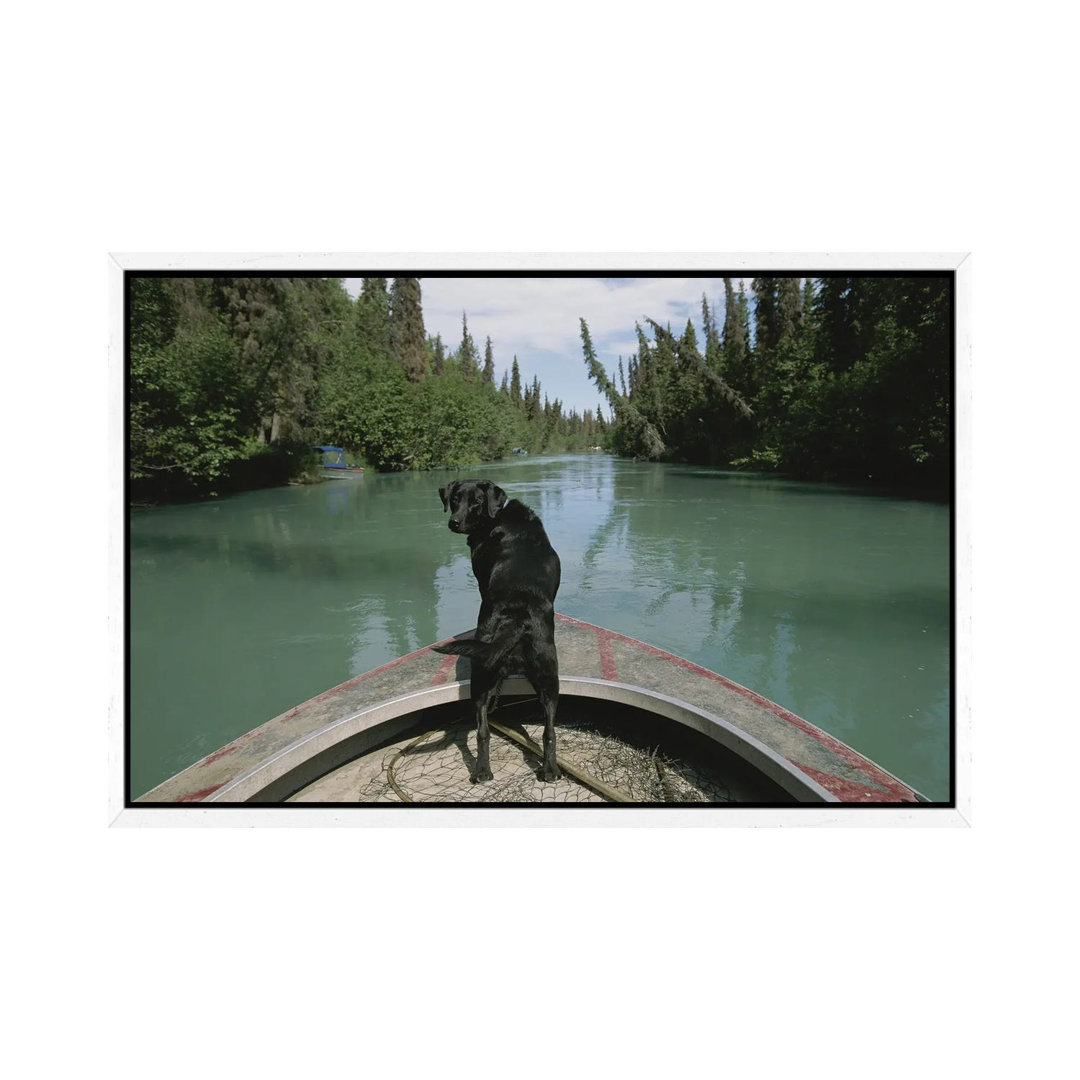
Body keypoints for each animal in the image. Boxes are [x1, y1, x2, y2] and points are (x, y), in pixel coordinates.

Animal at [432, 483, 565, 786]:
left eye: (476, 501)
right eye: (455, 499)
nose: (453, 521)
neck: (498, 517)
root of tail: (515, 618)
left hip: (490, 673)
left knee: (484, 728)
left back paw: (483, 769)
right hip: (546, 677)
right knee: (547, 731)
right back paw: (546, 769)